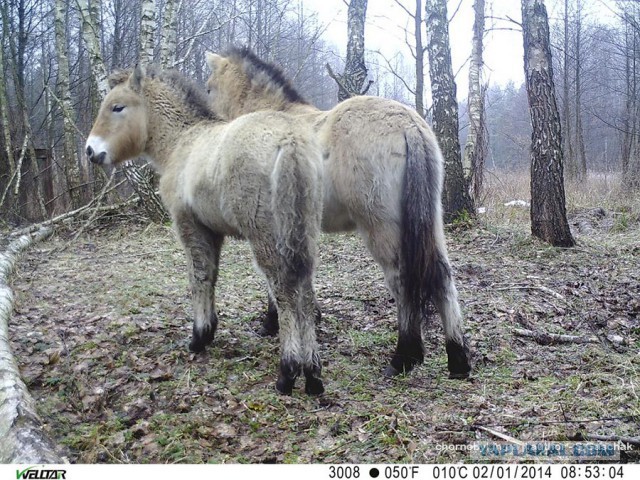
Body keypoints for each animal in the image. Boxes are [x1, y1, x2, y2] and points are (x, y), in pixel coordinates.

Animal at [85, 64, 324, 394]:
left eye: (117, 107)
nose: (90, 150)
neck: (182, 142)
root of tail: (290, 140)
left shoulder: (189, 225)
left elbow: (199, 275)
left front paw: (200, 336)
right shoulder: (213, 231)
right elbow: (211, 275)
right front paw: (208, 330)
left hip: (266, 235)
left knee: (285, 290)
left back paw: (288, 371)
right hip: (303, 233)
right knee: (306, 290)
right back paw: (313, 374)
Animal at [208, 47, 472, 378]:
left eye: (209, 87)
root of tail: (408, 125)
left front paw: (271, 322)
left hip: (381, 228)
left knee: (402, 280)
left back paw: (404, 357)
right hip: (430, 222)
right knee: (442, 276)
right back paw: (458, 359)